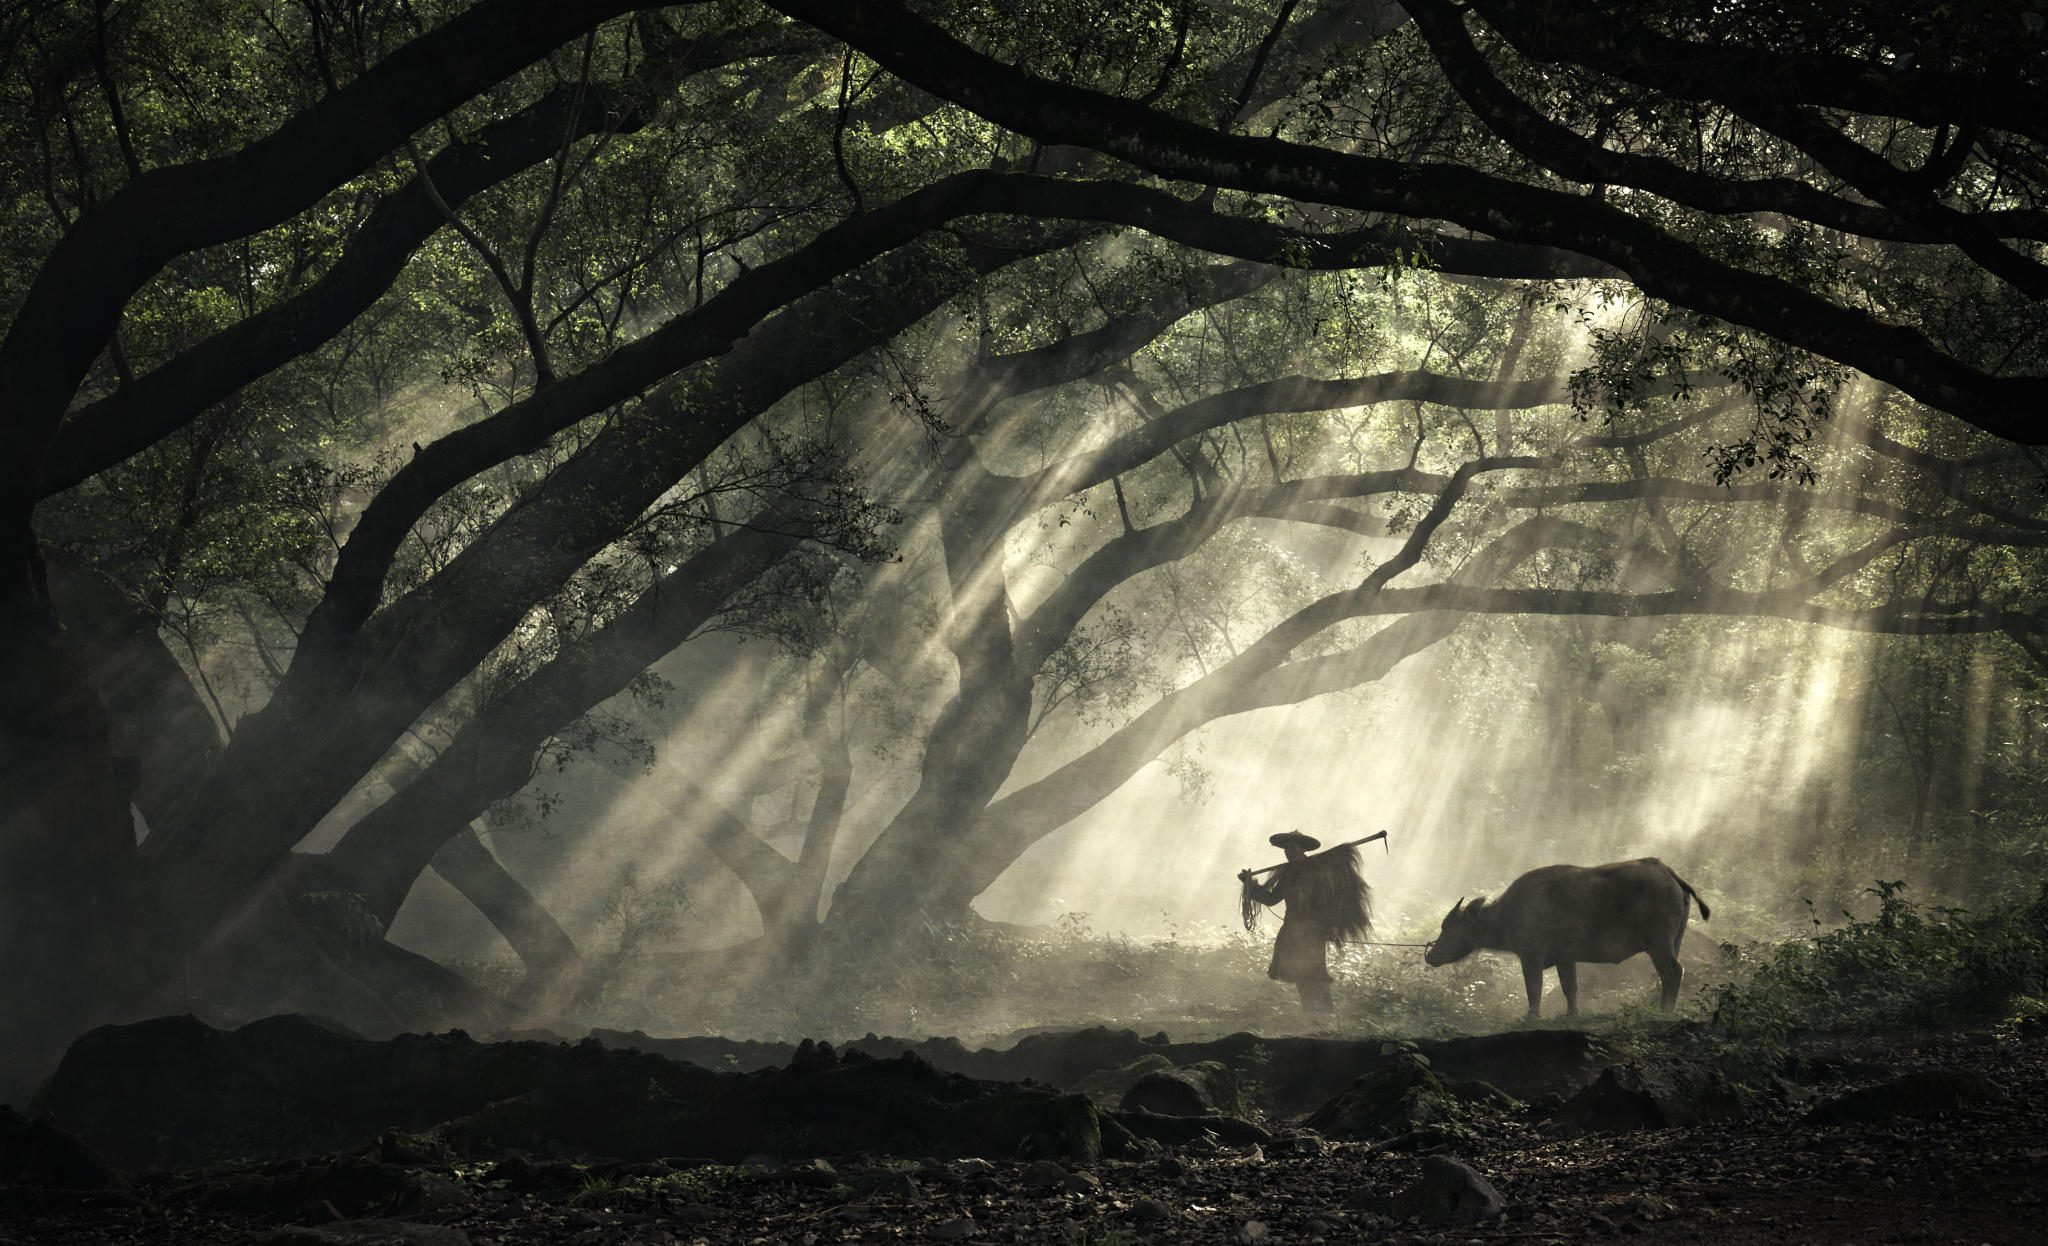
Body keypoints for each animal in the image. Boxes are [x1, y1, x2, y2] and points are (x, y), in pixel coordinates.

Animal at [1425, 856, 1712, 1020]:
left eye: (1450, 927)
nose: (1431, 956)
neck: (1512, 911)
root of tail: (1667, 871)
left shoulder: (1531, 955)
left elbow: (1534, 987)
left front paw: (1531, 1017)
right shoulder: (1565, 958)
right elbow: (1569, 987)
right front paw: (1572, 1014)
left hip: (1658, 943)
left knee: (1673, 972)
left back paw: (1664, 1012)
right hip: (1675, 941)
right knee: (1671, 974)